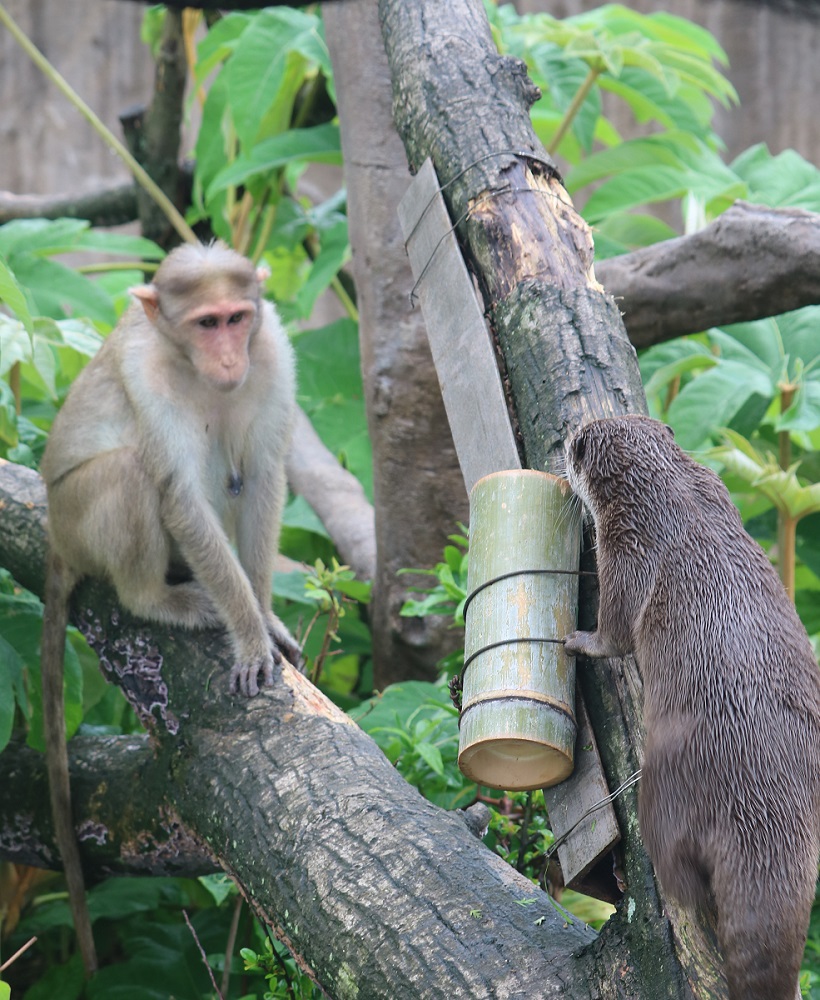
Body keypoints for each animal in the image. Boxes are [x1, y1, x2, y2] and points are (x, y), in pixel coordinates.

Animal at [39, 238, 302, 972]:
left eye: (237, 319)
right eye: (205, 324)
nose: (230, 358)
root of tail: (54, 535)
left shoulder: (275, 352)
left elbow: (265, 475)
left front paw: (262, 615)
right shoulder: (149, 377)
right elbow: (180, 495)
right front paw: (248, 633)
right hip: (79, 516)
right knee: (134, 472)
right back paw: (160, 598)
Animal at [564, 412, 820, 1000]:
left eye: (571, 448)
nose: (565, 436)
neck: (672, 495)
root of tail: (766, 811)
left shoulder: (626, 553)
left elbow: (614, 633)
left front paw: (579, 642)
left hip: (668, 791)